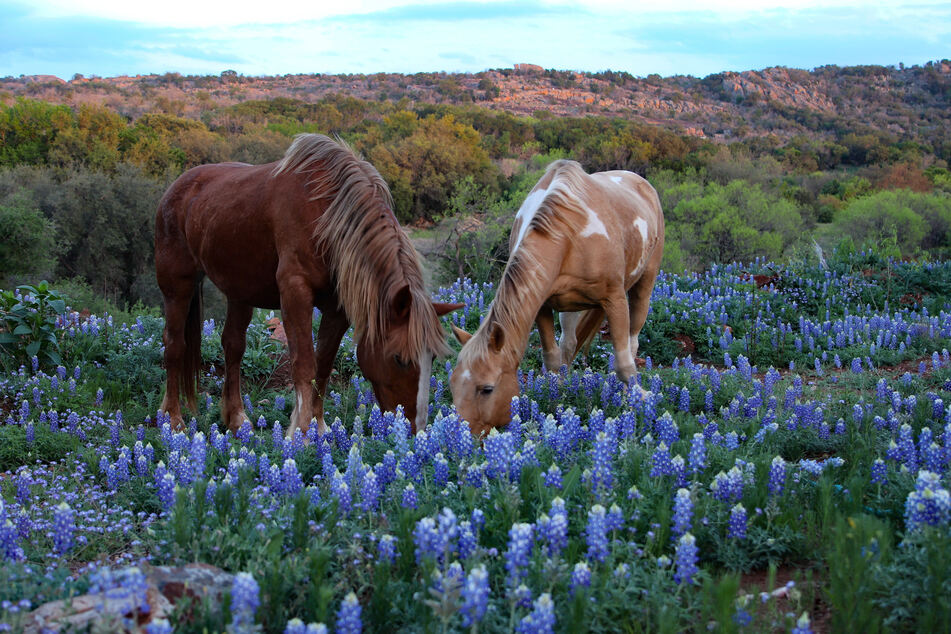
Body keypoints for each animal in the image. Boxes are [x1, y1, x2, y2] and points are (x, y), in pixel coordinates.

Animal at [154, 132, 460, 434]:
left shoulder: (337, 310)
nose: (415, 431)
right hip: (177, 285)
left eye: (432, 358)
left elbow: (322, 366)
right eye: (400, 358)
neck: (327, 216)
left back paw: (238, 419)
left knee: (233, 346)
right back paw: (172, 419)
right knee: (175, 344)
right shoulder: (295, 293)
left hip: (239, 291)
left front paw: (319, 427)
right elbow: (304, 364)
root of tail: (177, 187)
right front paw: (300, 433)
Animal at [452, 158, 660, 434]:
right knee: (569, 344)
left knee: (633, 337)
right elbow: (552, 358)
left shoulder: (614, 298)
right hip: (570, 305)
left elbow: (624, 361)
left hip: (645, 279)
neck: (568, 234)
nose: (457, 433)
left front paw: (638, 399)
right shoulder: (542, 305)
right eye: (452, 384)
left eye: (487, 389)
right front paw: (557, 397)